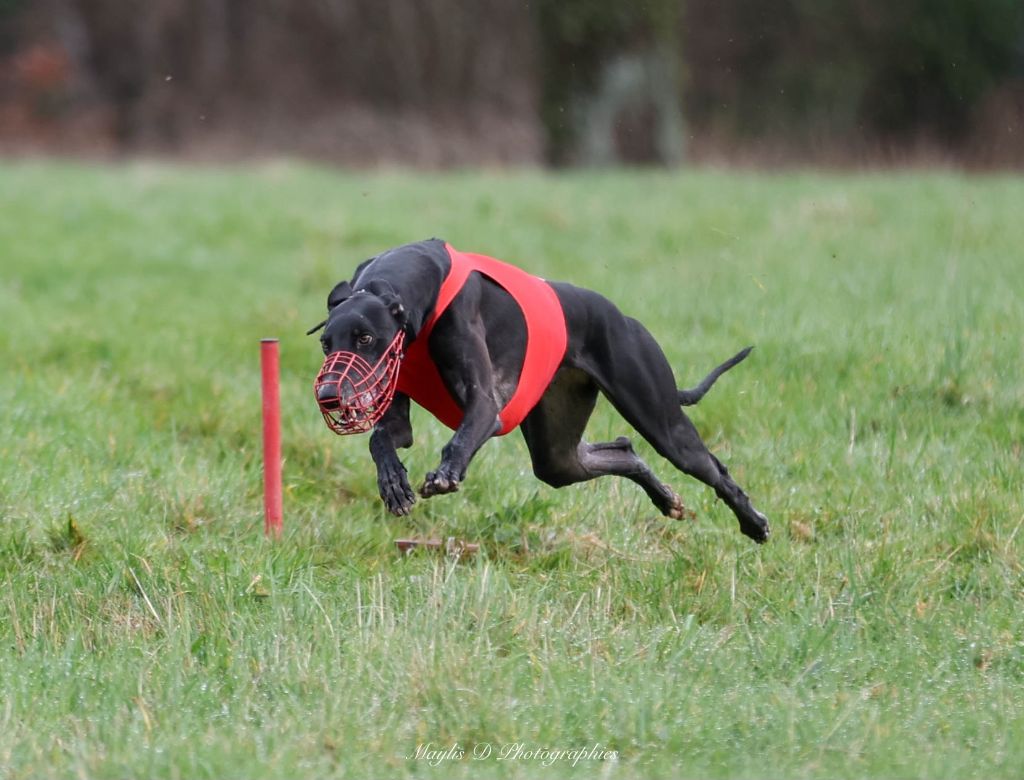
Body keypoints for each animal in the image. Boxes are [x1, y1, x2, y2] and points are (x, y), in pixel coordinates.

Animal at [311, 237, 770, 540]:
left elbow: (460, 437)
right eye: (326, 343)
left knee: (713, 468)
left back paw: (754, 523)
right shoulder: (394, 408)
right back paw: (666, 499)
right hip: (559, 449)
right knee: (620, 451)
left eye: (365, 338)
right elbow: (382, 438)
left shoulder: (486, 406)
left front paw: (444, 474)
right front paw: (393, 484)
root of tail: (622, 316)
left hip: (661, 420)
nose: (329, 394)